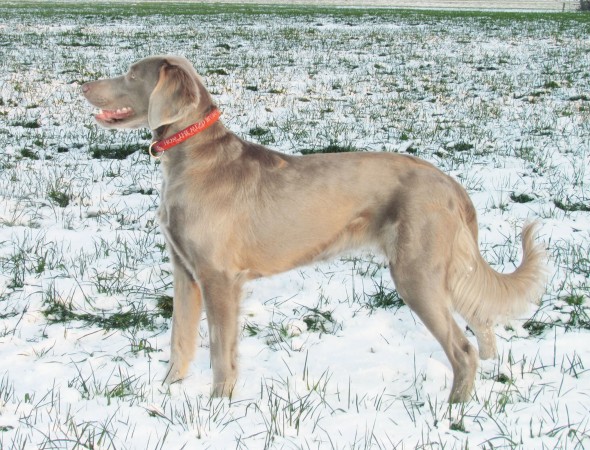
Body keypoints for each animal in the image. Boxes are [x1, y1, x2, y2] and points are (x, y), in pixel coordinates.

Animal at [81, 54, 548, 402]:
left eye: (131, 74)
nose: (83, 86)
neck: (192, 157)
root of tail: (450, 182)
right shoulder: (184, 270)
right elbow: (179, 338)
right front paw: (167, 392)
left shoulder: (219, 277)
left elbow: (220, 351)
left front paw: (217, 405)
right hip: (444, 268)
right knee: (482, 321)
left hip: (417, 271)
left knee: (462, 348)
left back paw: (451, 412)